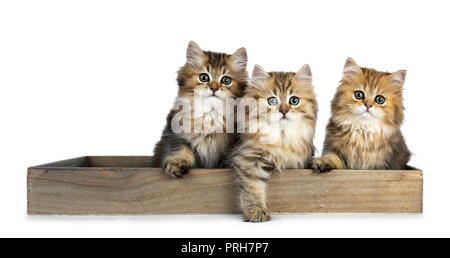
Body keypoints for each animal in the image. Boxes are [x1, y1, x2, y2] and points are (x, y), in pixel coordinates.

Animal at [230, 64, 318, 222]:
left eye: (294, 101)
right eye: (272, 101)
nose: (283, 111)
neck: (281, 137)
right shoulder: (249, 158)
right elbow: (253, 188)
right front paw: (256, 210)